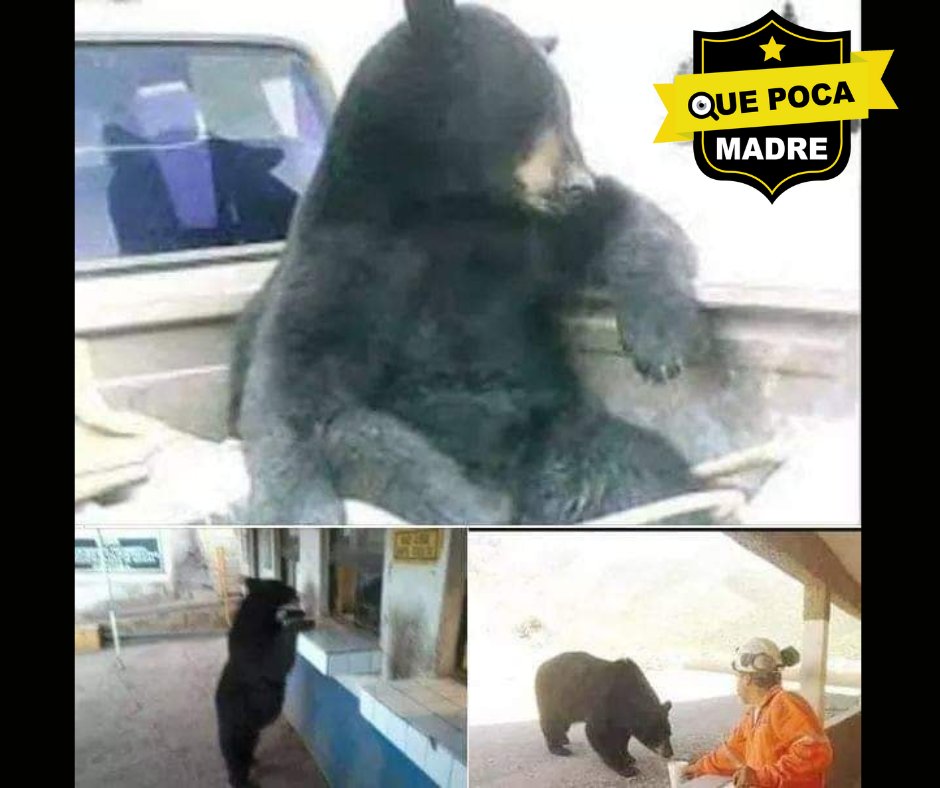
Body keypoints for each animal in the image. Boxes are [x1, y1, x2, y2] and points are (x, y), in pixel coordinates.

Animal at [215, 578, 312, 788]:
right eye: (281, 584)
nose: (296, 590)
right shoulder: (258, 650)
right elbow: (277, 659)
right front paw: (300, 622)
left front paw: (295, 613)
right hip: (238, 730)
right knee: (236, 759)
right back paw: (243, 781)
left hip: (252, 732)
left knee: (249, 748)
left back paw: (253, 760)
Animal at [232, 0, 707, 525]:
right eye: (542, 108)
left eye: (564, 109)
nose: (579, 183)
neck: (443, 204)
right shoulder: (346, 252)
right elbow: (295, 372)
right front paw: (298, 508)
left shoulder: (523, 234)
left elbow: (627, 220)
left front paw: (660, 343)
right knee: (369, 441)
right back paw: (477, 509)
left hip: (565, 430)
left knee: (633, 463)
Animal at [535, 651, 674, 777]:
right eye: (657, 735)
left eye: (669, 733)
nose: (669, 753)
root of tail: (542, 665)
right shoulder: (604, 702)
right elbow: (598, 732)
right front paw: (626, 768)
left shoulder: (622, 718)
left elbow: (622, 737)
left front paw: (628, 757)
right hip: (554, 696)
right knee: (552, 721)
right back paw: (558, 748)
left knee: (563, 723)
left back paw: (563, 739)